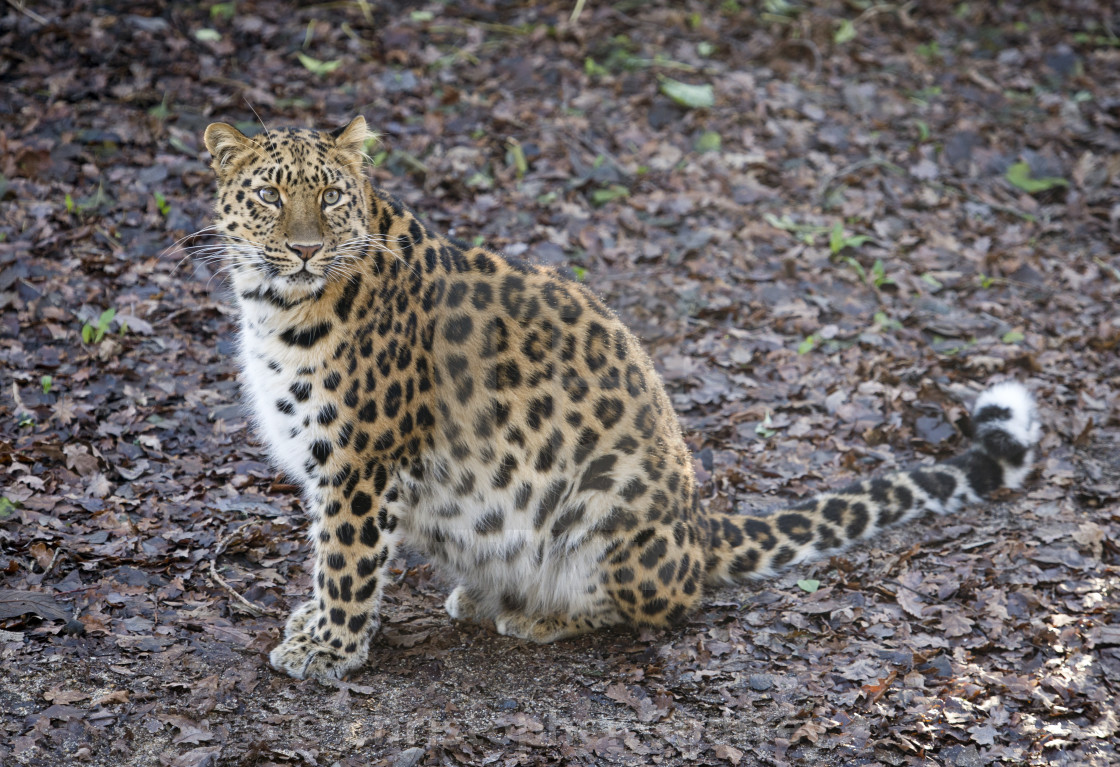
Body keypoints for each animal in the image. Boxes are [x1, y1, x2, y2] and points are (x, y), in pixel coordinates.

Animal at [199, 116, 1039, 680]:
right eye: (270, 196)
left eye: (331, 198)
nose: (304, 248)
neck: (273, 308)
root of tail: (698, 526)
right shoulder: (328, 463)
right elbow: (327, 551)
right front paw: (316, 624)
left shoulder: (363, 460)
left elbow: (347, 559)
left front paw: (329, 649)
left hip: (602, 497)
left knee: (655, 603)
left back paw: (534, 611)